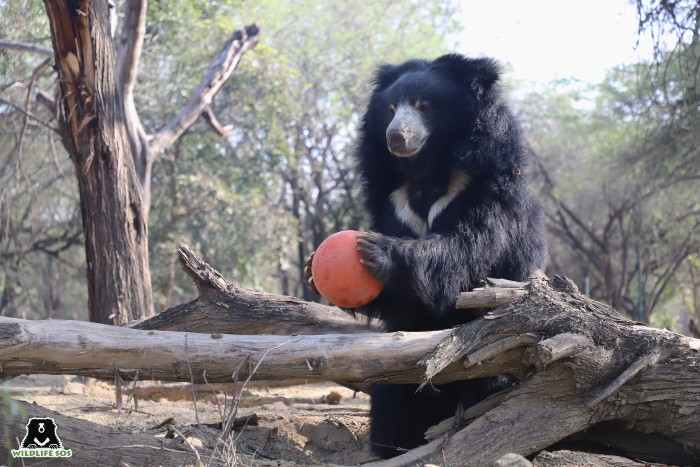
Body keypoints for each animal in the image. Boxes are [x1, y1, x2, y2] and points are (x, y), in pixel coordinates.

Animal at [350, 55, 548, 460]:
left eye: (424, 105)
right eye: (390, 109)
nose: (396, 138)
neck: (428, 171)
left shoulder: (485, 191)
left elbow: (467, 253)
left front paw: (379, 251)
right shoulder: (393, 199)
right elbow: (402, 299)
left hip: (498, 350)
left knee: (487, 380)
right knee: (392, 396)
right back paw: (392, 444)